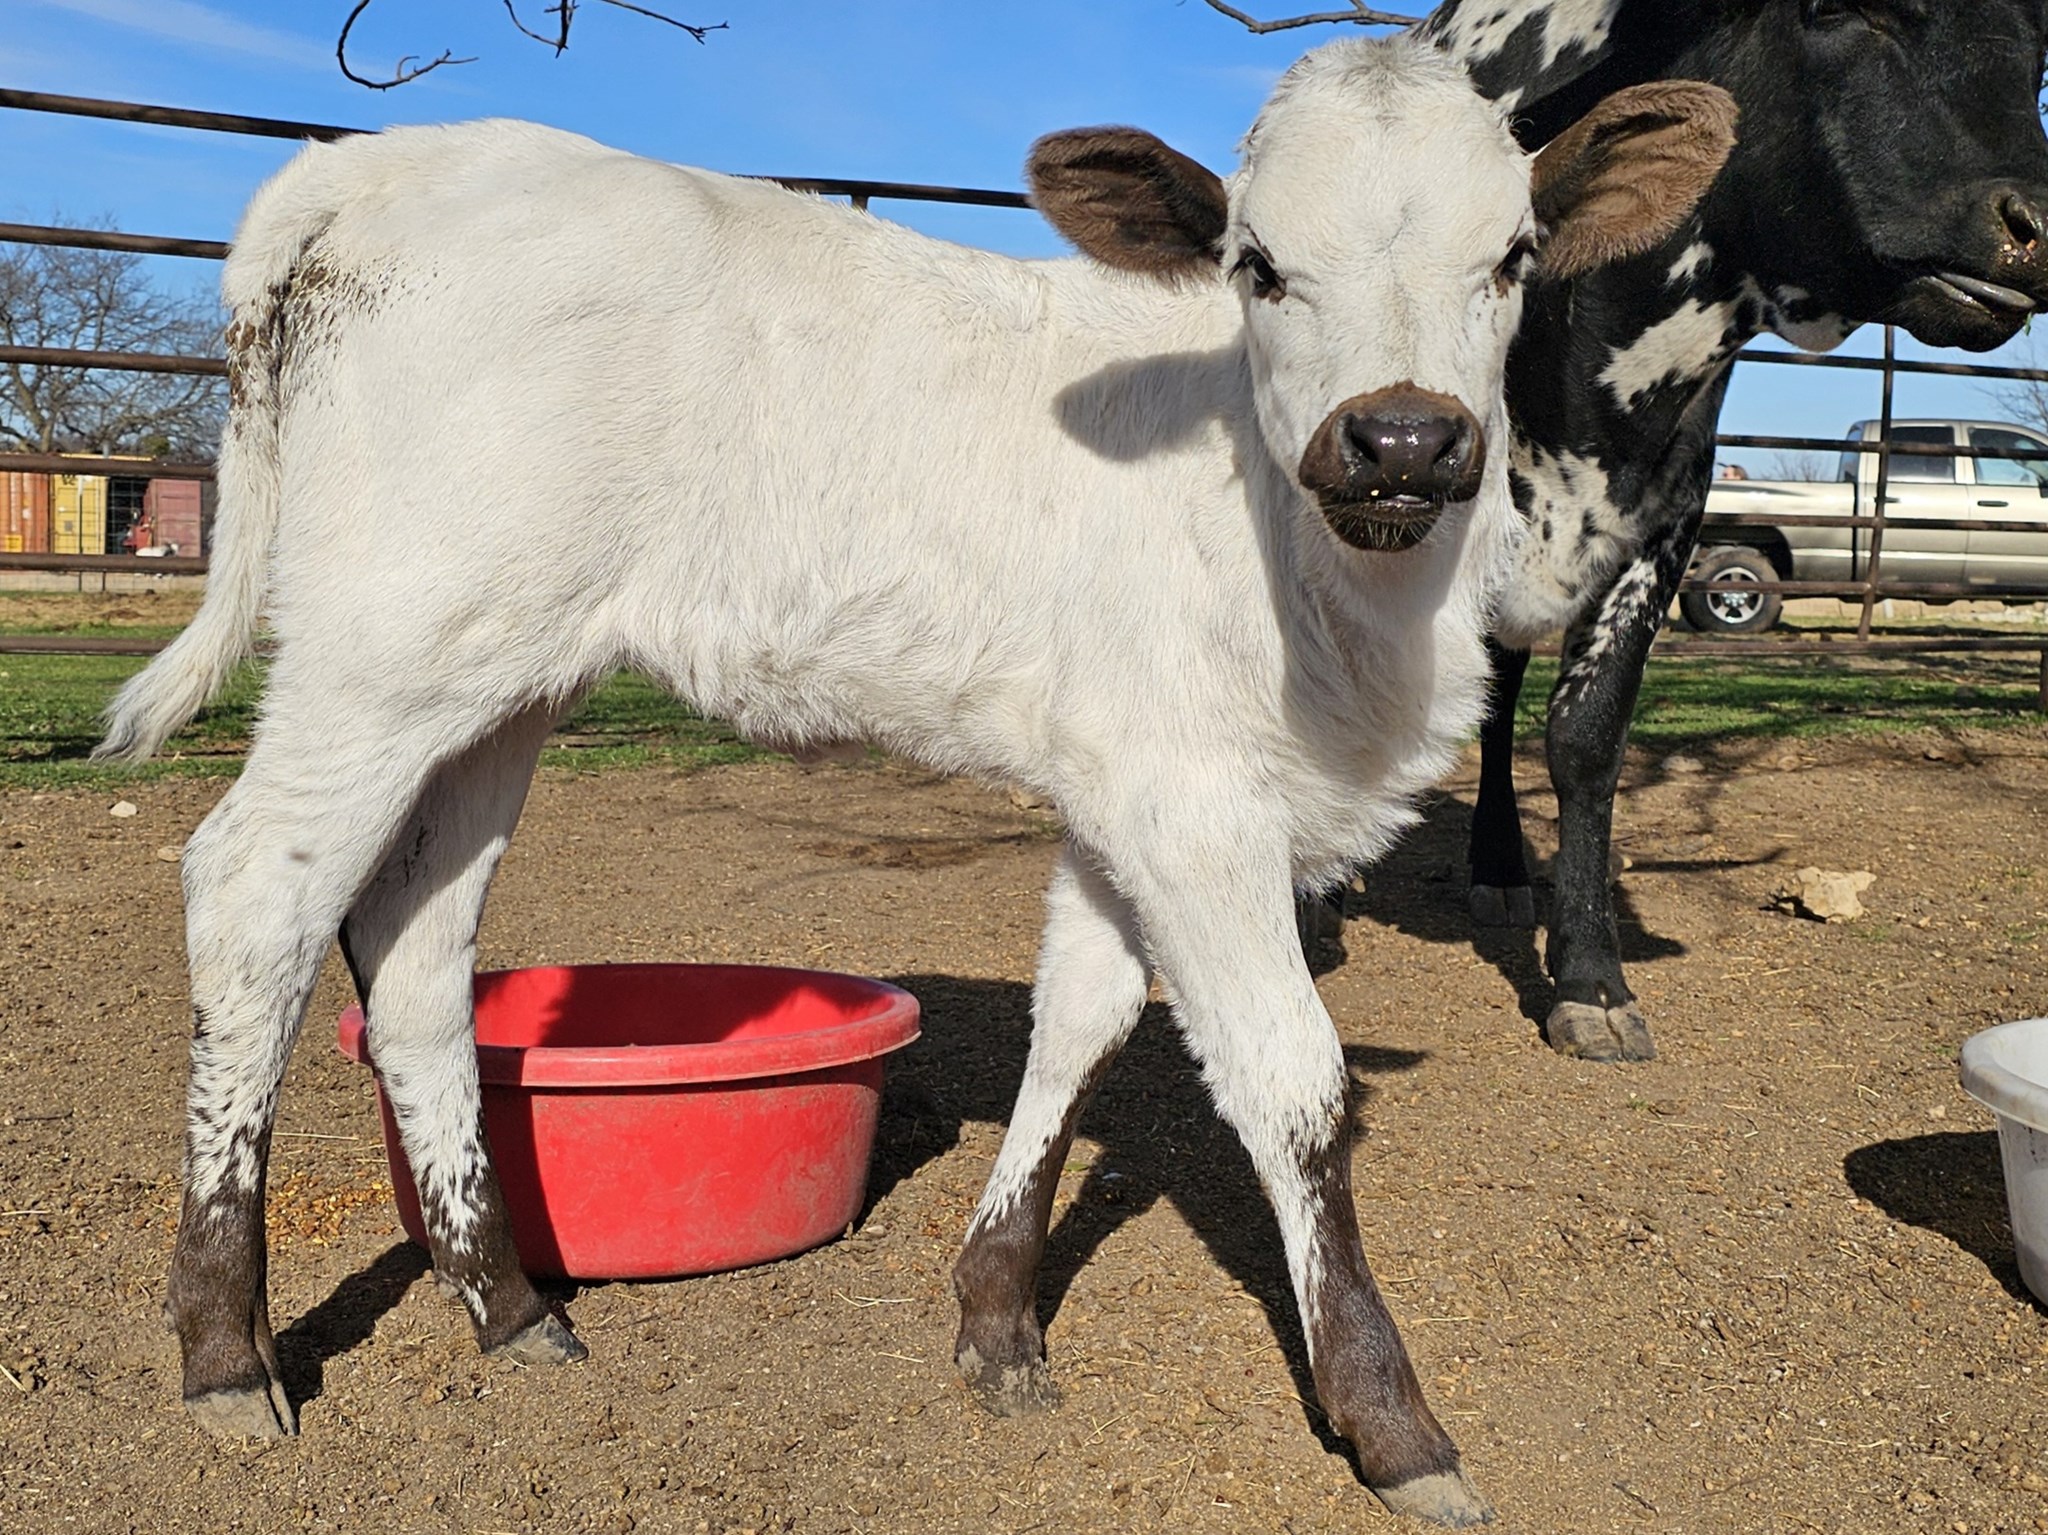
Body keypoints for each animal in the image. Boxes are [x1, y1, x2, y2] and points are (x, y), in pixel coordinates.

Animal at [96, 35, 1734, 1525]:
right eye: (1258, 265)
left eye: (1511, 256)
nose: (1401, 438)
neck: (1322, 576)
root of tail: (362, 167)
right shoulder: (1194, 801)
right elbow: (1293, 1084)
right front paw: (1391, 1418)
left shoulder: (1120, 785)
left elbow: (1081, 1020)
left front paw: (996, 1315)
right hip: (379, 646)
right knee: (255, 894)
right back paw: (227, 1349)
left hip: (500, 677)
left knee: (420, 953)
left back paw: (508, 1305)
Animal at [1387, 0, 2048, 1062]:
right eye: (1838, 12)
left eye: (2041, 57)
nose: (2035, 230)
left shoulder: (1669, 519)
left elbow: (1587, 737)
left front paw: (1592, 978)